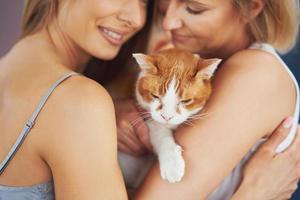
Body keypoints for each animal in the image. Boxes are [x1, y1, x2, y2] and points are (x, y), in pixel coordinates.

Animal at [118, 48, 221, 188]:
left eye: (186, 101)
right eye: (155, 96)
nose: (167, 117)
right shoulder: (150, 119)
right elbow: (160, 135)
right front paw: (171, 164)